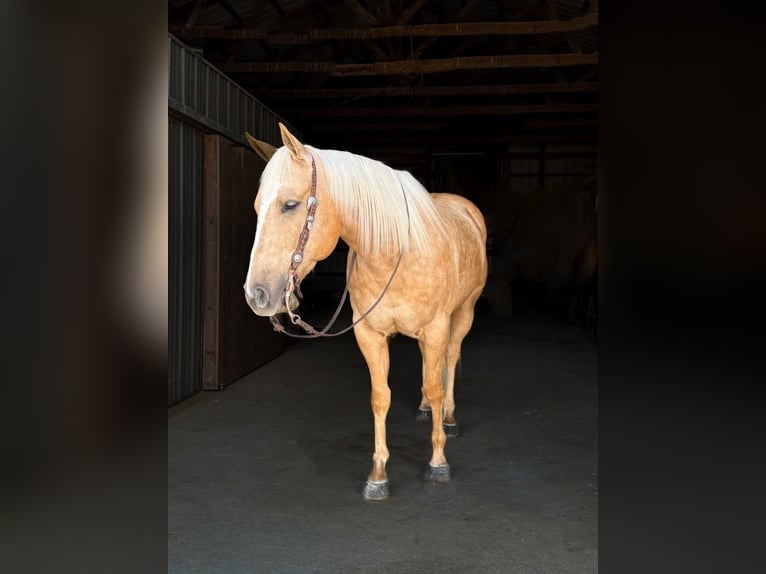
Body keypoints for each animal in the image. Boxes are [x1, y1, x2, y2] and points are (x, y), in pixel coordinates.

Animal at [243, 124, 488, 502]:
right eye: (257, 207)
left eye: (290, 205)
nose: (257, 294)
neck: (395, 252)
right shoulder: (369, 334)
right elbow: (380, 397)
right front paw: (378, 474)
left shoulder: (436, 327)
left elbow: (435, 386)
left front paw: (437, 461)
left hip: (463, 314)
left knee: (450, 358)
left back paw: (447, 417)